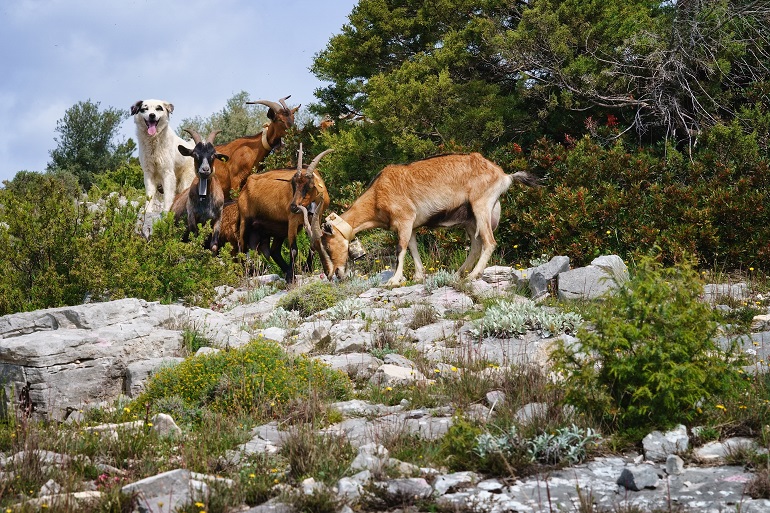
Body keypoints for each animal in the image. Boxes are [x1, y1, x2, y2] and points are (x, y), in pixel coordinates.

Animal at [237, 145, 333, 283]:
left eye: (309, 186)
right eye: (293, 184)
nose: (293, 206)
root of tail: (245, 186)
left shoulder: (316, 217)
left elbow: (313, 244)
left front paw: (306, 269)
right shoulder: (293, 221)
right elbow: (293, 250)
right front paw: (293, 278)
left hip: (278, 228)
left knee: (274, 251)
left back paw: (286, 272)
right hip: (245, 222)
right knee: (242, 249)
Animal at [309, 153, 540, 286]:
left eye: (327, 245)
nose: (334, 274)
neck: (378, 193)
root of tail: (504, 176)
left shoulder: (405, 219)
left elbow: (400, 249)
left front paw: (394, 280)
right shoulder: (409, 226)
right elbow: (412, 248)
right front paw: (419, 276)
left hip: (481, 206)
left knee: (489, 242)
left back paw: (473, 275)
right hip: (470, 219)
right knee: (476, 245)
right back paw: (458, 274)